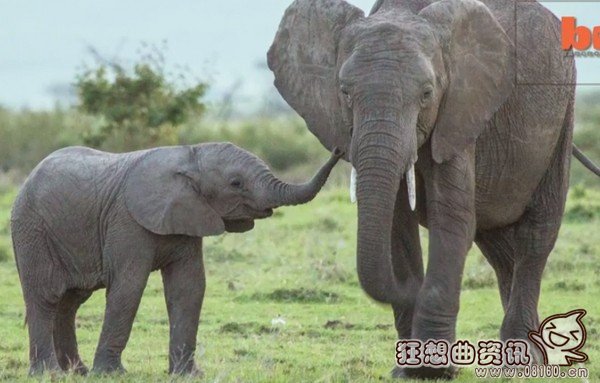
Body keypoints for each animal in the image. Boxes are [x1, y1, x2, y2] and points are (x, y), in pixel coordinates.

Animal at [12, 142, 342, 376]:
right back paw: (50, 374)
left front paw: (188, 375)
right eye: (236, 183)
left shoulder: (189, 218)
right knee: (46, 296)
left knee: (70, 302)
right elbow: (129, 287)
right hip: (32, 230)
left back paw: (76, 372)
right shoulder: (127, 221)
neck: (190, 156)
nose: (339, 148)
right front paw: (111, 374)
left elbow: (189, 287)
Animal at [270, 0, 596, 380]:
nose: (338, 151)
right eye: (344, 93)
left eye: (427, 94)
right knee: (499, 249)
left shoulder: (459, 114)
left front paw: (434, 369)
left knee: (536, 236)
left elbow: (451, 220)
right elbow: (397, 228)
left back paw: (522, 360)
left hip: (563, 115)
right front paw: (408, 368)